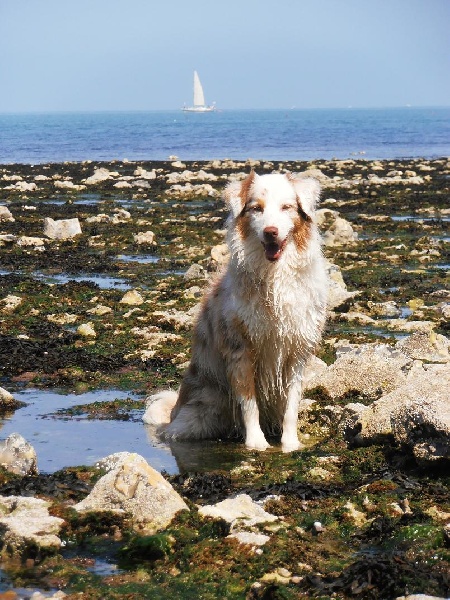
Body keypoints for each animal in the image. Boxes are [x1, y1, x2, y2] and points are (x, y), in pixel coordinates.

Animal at [144, 171, 326, 452]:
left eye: (286, 207)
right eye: (256, 208)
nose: (270, 232)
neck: (274, 277)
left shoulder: (297, 350)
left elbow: (291, 404)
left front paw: (291, 442)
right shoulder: (239, 348)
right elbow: (249, 402)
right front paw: (256, 442)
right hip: (205, 405)